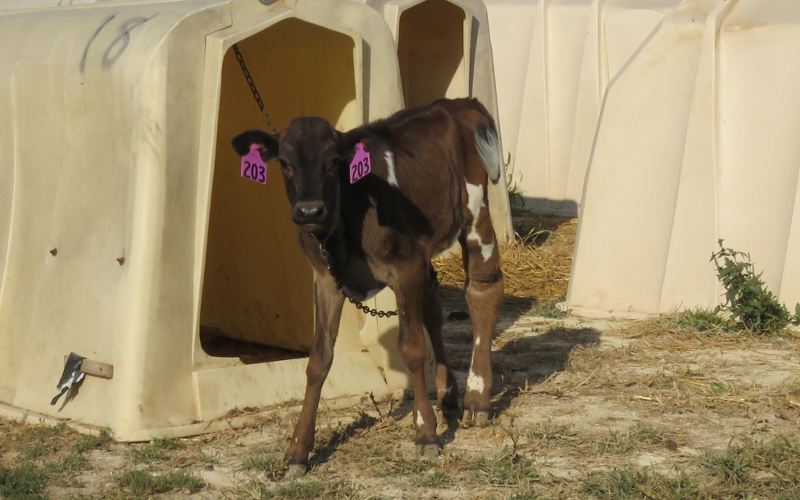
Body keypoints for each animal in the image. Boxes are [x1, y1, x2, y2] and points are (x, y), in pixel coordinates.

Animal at [233, 97, 506, 476]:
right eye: (285, 163)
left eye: (333, 161)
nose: (309, 211)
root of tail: (457, 103)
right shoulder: (327, 281)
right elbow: (319, 359)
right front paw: (298, 450)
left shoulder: (405, 268)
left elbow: (412, 348)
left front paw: (425, 433)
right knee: (433, 305)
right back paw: (448, 393)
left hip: (475, 212)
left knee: (483, 289)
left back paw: (477, 398)